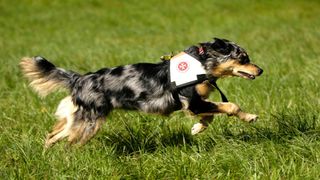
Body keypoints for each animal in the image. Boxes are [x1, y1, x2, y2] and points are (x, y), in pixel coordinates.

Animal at [19, 37, 262, 147]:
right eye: (243, 58)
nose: (260, 70)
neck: (202, 64)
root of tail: (80, 78)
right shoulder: (192, 101)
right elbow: (230, 106)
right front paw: (250, 117)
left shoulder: (195, 104)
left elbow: (210, 115)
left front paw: (197, 128)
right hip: (90, 122)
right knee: (70, 144)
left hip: (76, 118)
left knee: (52, 135)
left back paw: (47, 156)